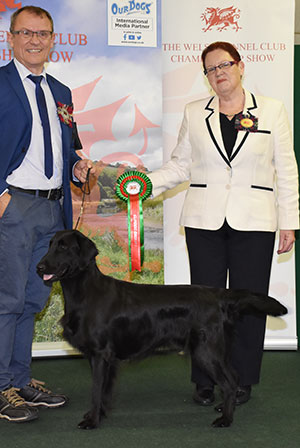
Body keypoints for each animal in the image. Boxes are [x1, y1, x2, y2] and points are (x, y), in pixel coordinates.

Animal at [36, 231, 288, 430]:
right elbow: (103, 390)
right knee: (233, 377)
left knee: (229, 383)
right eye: (50, 244)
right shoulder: (100, 357)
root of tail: (218, 295)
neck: (85, 292)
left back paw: (225, 420)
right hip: (216, 350)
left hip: (206, 351)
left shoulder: (101, 354)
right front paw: (98, 415)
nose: (39, 268)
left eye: (63, 247)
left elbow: (96, 390)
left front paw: (92, 421)